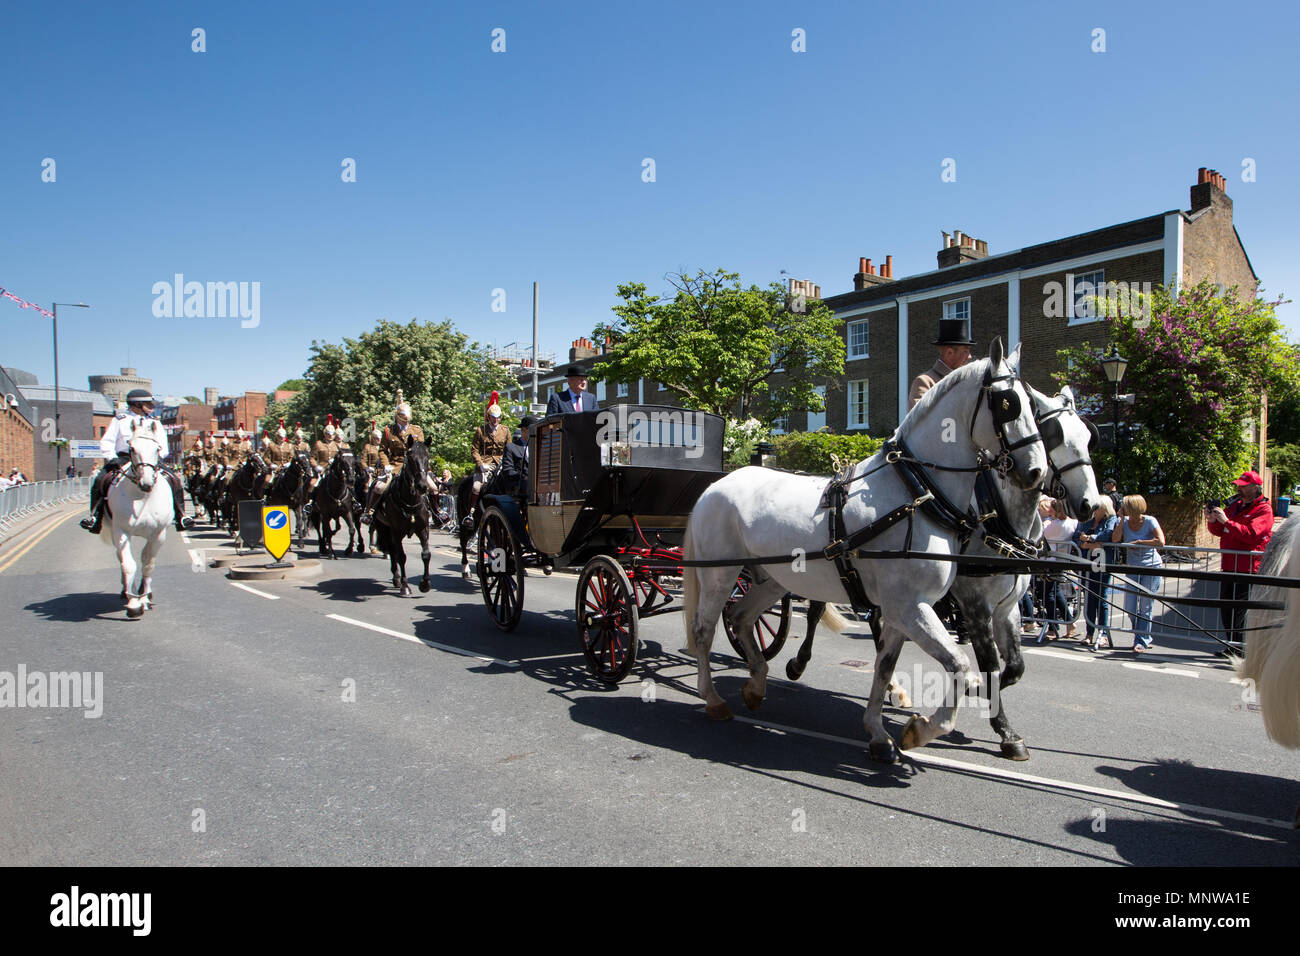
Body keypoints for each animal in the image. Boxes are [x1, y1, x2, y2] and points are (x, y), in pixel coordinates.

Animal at [98, 421, 174, 621]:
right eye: (131, 448)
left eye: (157, 448)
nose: (146, 482)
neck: (142, 497)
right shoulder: (121, 531)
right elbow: (129, 565)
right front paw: (133, 604)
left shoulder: (158, 534)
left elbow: (148, 564)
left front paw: (144, 598)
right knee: (121, 558)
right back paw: (127, 591)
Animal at [374, 437, 434, 595]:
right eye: (411, 458)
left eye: (427, 457)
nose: (422, 486)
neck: (410, 502)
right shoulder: (397, 531)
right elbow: (401, 557)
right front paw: (405, 585)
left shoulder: (423, 529)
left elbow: (426, 555)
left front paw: (425, 584)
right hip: (384, 528)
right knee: (392, 551)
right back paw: (397, 578)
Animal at [681, 335, 1045, 764]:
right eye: (1009, 403)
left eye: (1033, 405)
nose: (1036, 472)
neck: (917, 493)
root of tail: (714, 486)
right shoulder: (912, 606)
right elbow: (961, 665)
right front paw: (923, 729)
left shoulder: (903, 610)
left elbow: (884, 666)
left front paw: (879, 733)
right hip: (718, 574)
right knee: (704, 629)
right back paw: (713, 698)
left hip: (773, 579)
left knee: (740, 617)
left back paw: (755, 684)